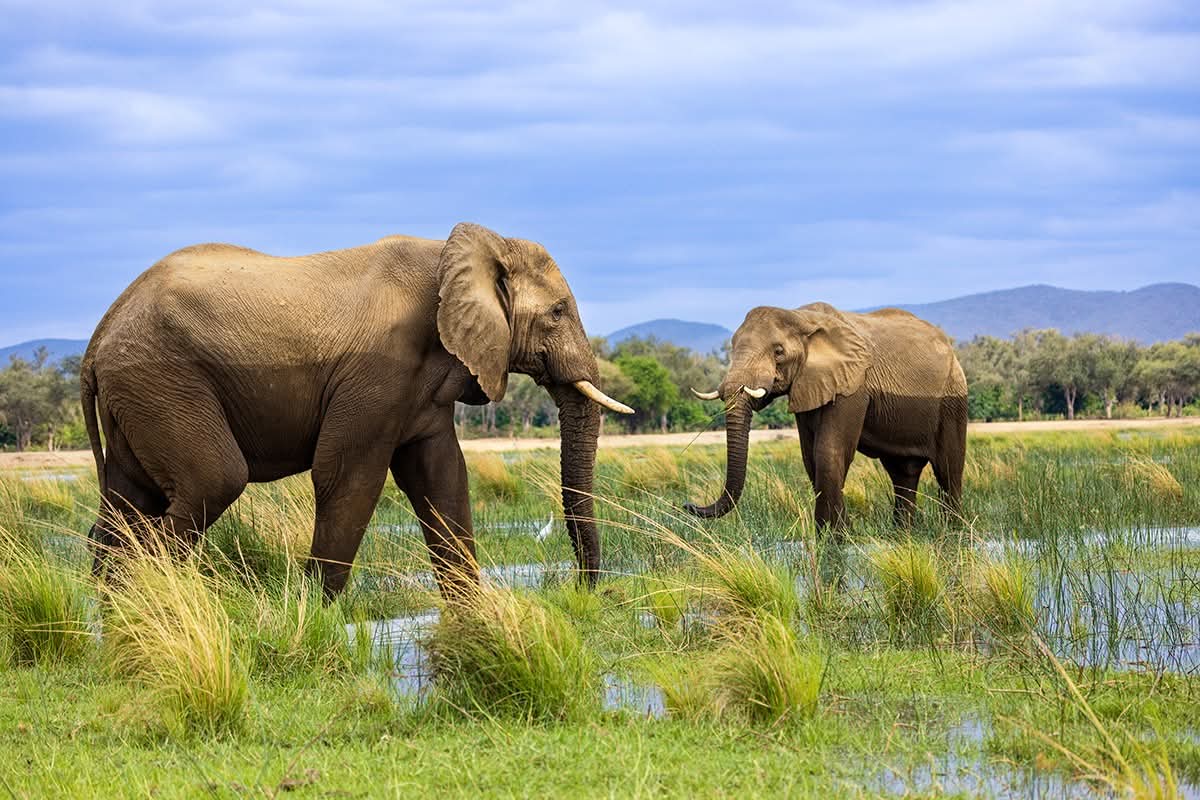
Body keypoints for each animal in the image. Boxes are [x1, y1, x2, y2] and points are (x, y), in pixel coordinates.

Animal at [80, 222, 633, 597]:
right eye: (557, 313)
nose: (581, 590)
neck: (465, 249)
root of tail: (99, 335)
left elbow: (442, 478)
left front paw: (474, 617)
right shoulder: (379, 370)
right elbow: (349, 476)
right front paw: (311, 614)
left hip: (139, 395)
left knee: (124, 507)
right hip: (163, 380)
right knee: (213, 480)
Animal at [684, 303, 966, 530]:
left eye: (778, 351)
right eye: (731, 348)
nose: (688, 505)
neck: (800, 316)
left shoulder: (852, 385)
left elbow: (828, 452)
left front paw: (836, 540)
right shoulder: (807, 384)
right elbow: (811, 458)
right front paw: (835, 535)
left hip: (952, 396)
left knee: (948, 469)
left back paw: (951, 532)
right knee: (903, 473)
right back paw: (903, 534)